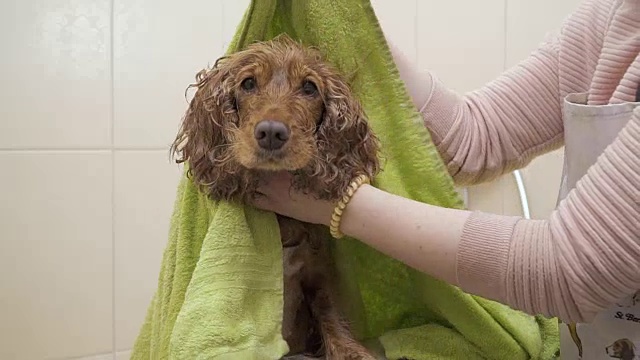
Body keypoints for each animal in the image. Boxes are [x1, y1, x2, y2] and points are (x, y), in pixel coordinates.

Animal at [169, 34, 380, 360]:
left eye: (309, 87)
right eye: (248, 84)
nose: (271, 133)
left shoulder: (318, 276)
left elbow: (331, 315)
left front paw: (351, 351)